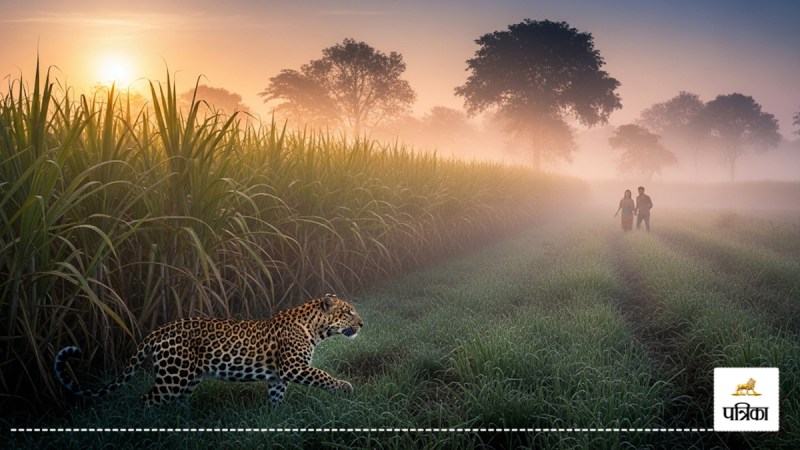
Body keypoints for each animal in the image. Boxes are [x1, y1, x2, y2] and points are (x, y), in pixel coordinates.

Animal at [54, 294, 363, 407]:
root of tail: (157, 331)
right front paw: (346, 388)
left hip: (186, 380)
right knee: (147, 401)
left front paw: (276, 417)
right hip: (172, 378)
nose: (362, 323)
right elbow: (323, 376)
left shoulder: (278, 376)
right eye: (348, 312)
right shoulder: (294, 367)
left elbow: (276, 397)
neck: (316, 328)